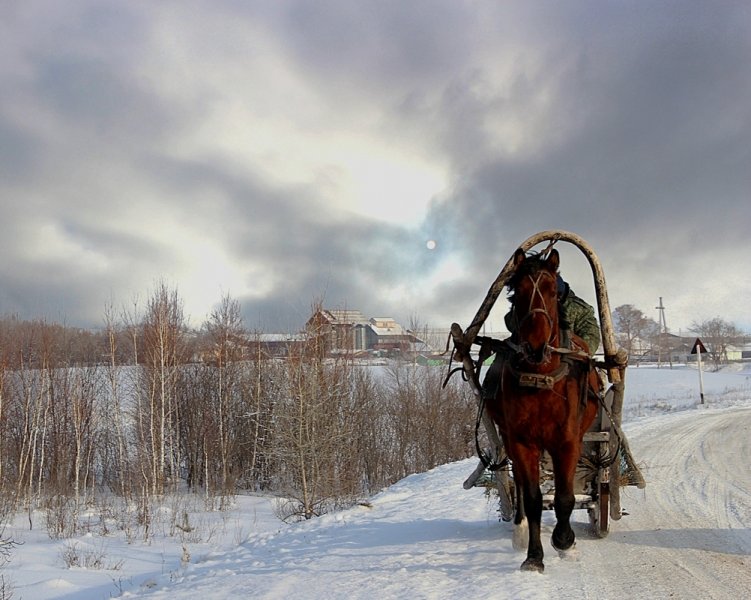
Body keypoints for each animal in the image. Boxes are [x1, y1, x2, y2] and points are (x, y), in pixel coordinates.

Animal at [488, 247, 600, 572]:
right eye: (517, 292)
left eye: (551, 292)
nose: (535, 346)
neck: (542, 377)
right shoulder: (523, 441)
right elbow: (535, 498)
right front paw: (534, 556)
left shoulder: (567, 441)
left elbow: (564, 497)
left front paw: (565, 542)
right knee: (520, 482)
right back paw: (520, 528)